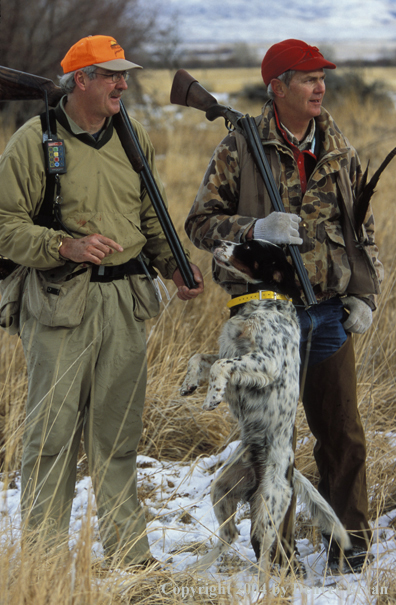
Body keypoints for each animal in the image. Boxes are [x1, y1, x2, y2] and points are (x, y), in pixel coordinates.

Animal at [179, 239, 350, 572]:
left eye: (248, 246)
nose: (218, 242)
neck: (260, 303)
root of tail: (290, 470)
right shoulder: (229, 349)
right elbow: (201, 358)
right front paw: (190, 383)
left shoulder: (267, 361)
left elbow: (219, 365)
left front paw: (212, 396)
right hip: (222, 488)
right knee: (230, 535)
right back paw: (197, 567)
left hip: (269, 509)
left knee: (268, 552)